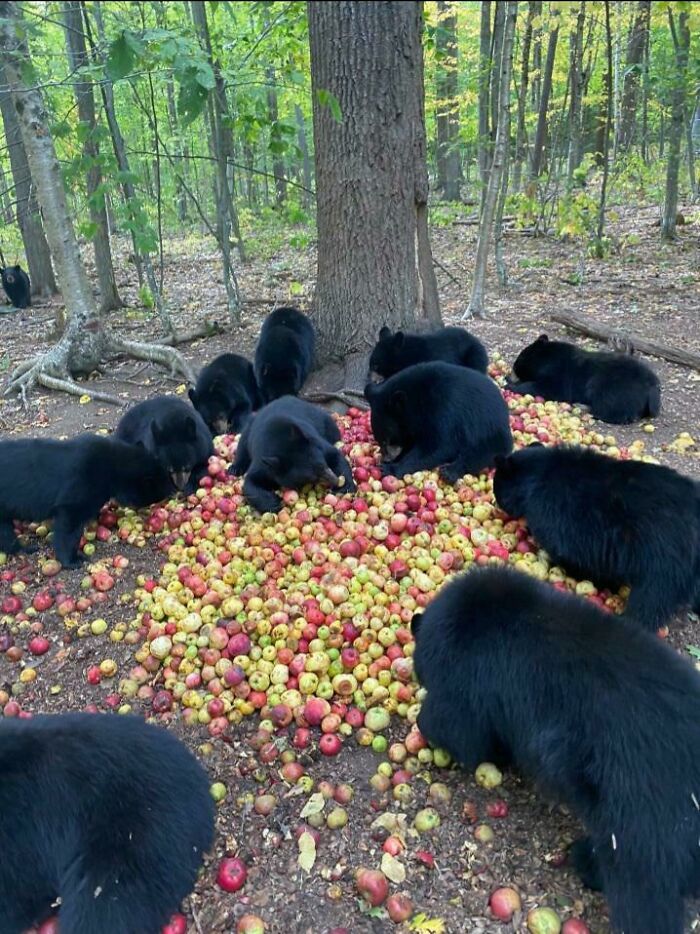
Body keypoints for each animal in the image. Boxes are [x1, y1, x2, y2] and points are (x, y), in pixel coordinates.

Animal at [364, 362, 512, 482]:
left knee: (484, 451)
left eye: (386, 440)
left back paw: (450, 471)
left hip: (488, 429)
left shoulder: (444, 409)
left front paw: (390, 468)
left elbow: (439, 446)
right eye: (379, 439)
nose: (386, 458)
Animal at [492, 443, 700, 630]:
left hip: (664, 555)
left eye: (497, 490)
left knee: (651, 598)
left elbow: (573, 557)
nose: (497, 504)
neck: (536, 478)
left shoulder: (561, 517)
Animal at [506, 333, 660, 424]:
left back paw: (583, 406)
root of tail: (652, 388)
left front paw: (511, 385)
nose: (509, 375)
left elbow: (550, 388)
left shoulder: (560, 373)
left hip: (614, 385)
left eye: (517, 362)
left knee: (609, 405)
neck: (546, 359)